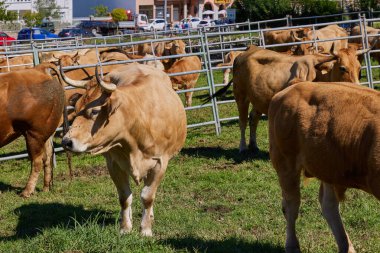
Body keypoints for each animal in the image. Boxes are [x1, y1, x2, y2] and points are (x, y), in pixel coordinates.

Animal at [0, 62, 65, 198]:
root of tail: (39, 69)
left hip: (34, 134)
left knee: (37, 161)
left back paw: (27, 191)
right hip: (44, 134)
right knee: (48, 156)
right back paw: (46, 187)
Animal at [60, 63, 187, 237]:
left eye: (94, 111)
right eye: (77, 107)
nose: (66, 141)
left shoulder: (160, 163)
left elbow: (147, 196)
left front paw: (145, 229)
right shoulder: (114, 164)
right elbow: (124, 197)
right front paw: (125, 227)